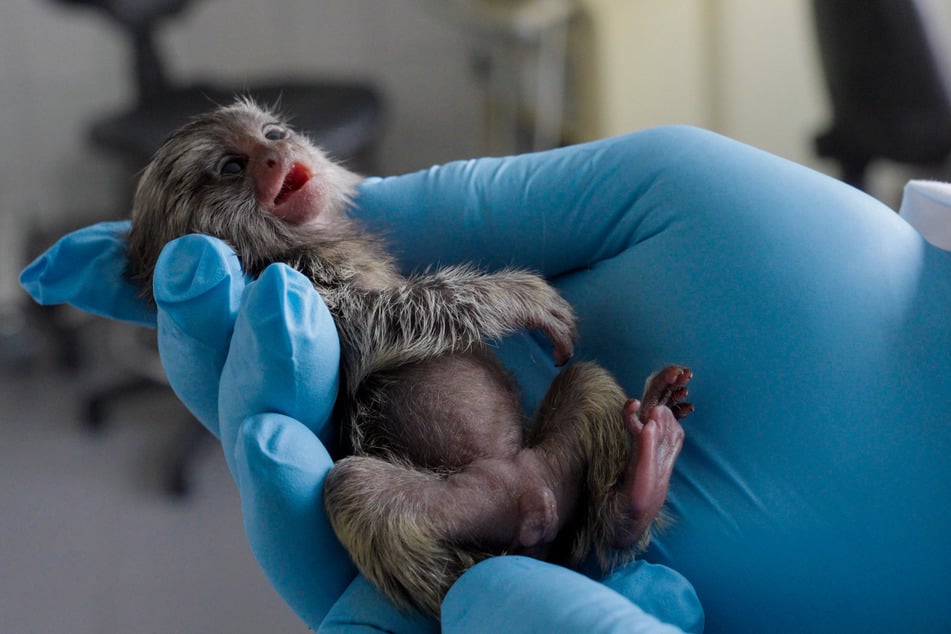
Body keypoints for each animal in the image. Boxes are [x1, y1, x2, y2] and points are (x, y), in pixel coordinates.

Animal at [125, 98, 694, 618]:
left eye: (272, 133)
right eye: (232, 166)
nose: (276, 154)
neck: (300, 239)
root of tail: (531, 500)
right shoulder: (289, 280)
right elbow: (376, 326)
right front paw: (516, 296)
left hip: (546, 469)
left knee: (585, 381)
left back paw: (636, 489)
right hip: (466, 506)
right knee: (355, 490)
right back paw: (473, 584)